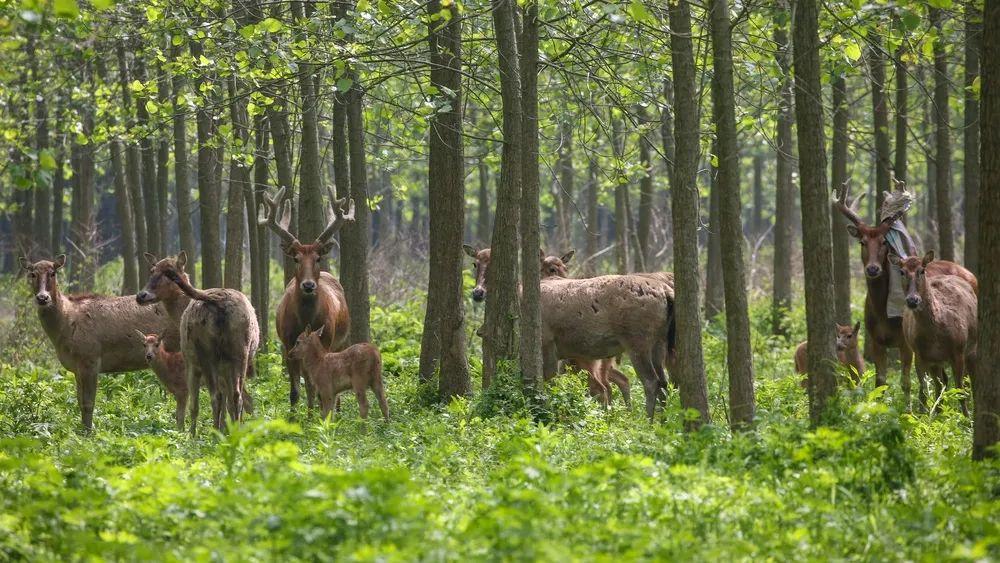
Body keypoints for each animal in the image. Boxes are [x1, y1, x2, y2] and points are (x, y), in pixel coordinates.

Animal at [20, 256, 168, 432]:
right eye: (32, 274)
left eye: (53, 273)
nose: (42, 298)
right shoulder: (76, 368)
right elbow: (79, 401)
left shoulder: (90, 359)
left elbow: (88, 403)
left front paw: (88, 433)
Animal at [258, 187, 356, 412]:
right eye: (296, 259)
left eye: (318, 258)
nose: (309, 285)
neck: (305, 320)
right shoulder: (287, 343)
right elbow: (295, 390)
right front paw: (295, 416)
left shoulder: (326, 339)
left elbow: (320, 385)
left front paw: (323, 415)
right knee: (307, 380)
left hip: (341, 339)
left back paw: (336, 408)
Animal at [892, 253, 976, 416]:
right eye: (902, 271)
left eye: (922, 270)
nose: (912, 300)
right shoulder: (920, 354)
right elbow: (924, 391)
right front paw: (923, 416)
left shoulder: (958, 349)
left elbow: (960, 390)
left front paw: (966, 418)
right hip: (936, 361)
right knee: (940, 383)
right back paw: (938, 411)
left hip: (971, 348)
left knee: (969, 381)